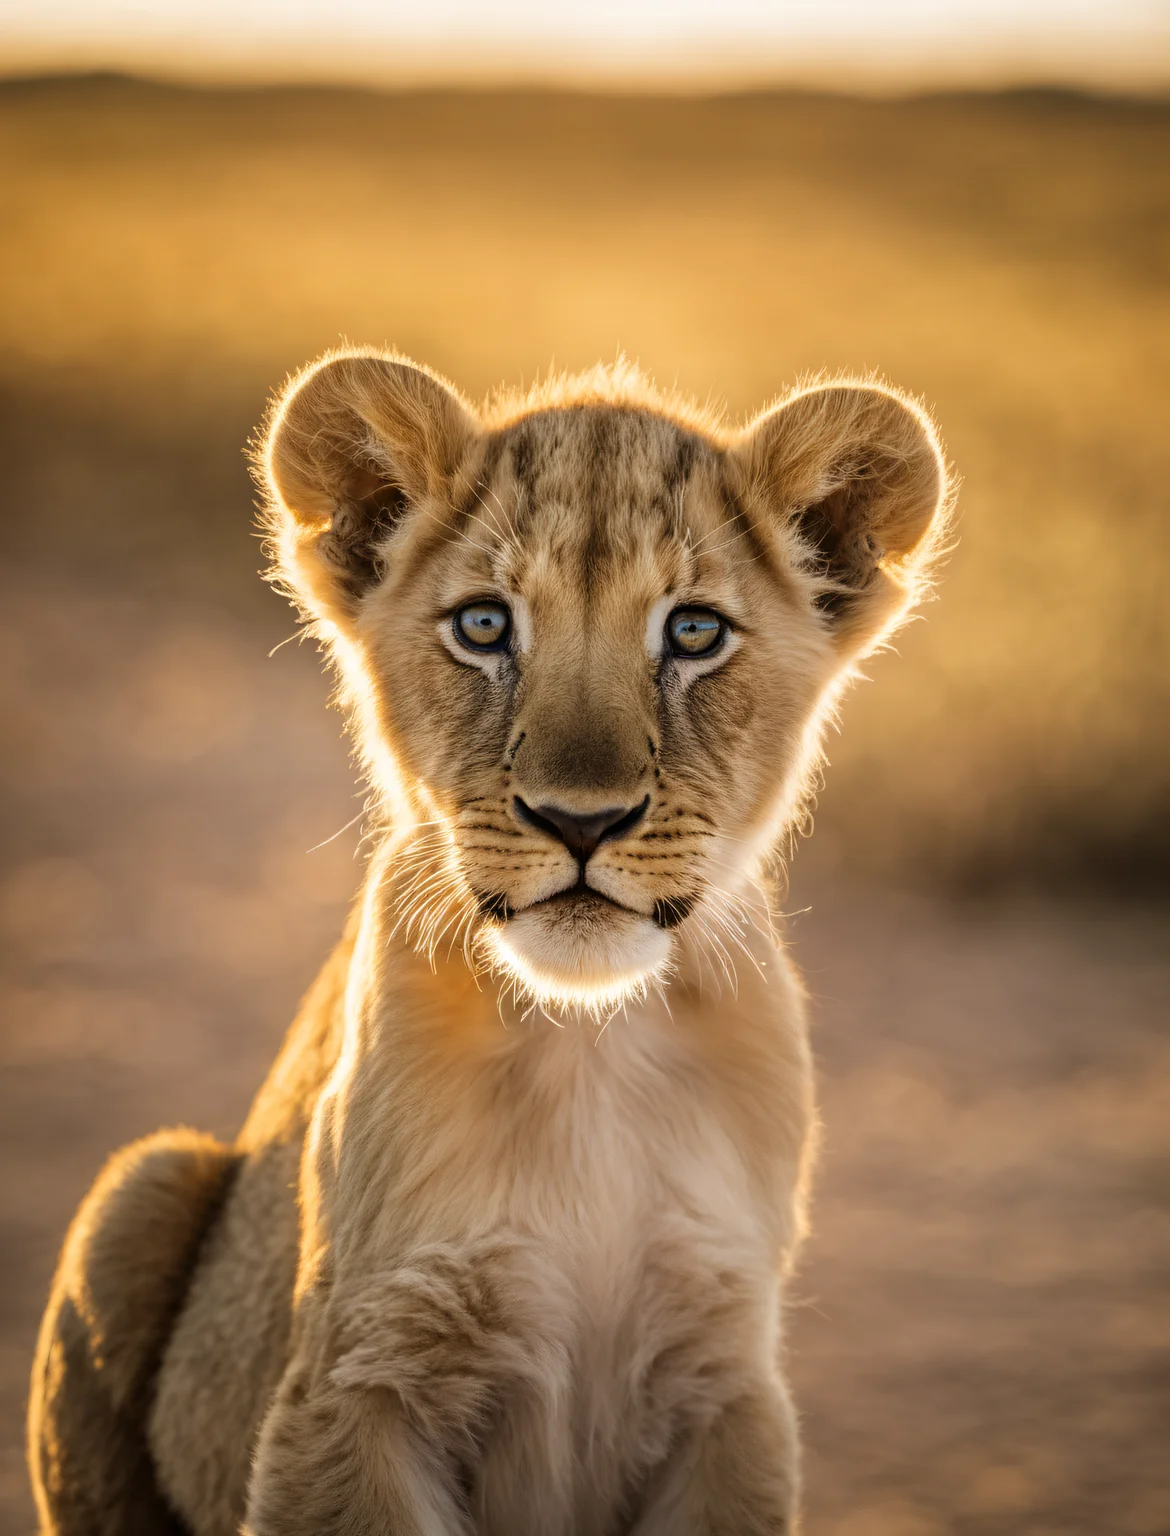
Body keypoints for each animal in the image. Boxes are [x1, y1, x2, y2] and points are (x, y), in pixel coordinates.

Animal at [28, 350, 950, 1535]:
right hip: (138, 1186)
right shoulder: (357, 1379)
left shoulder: (726, 1385)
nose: (580, 821)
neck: (591, 1044)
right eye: (483, 626)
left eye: (694, 633)